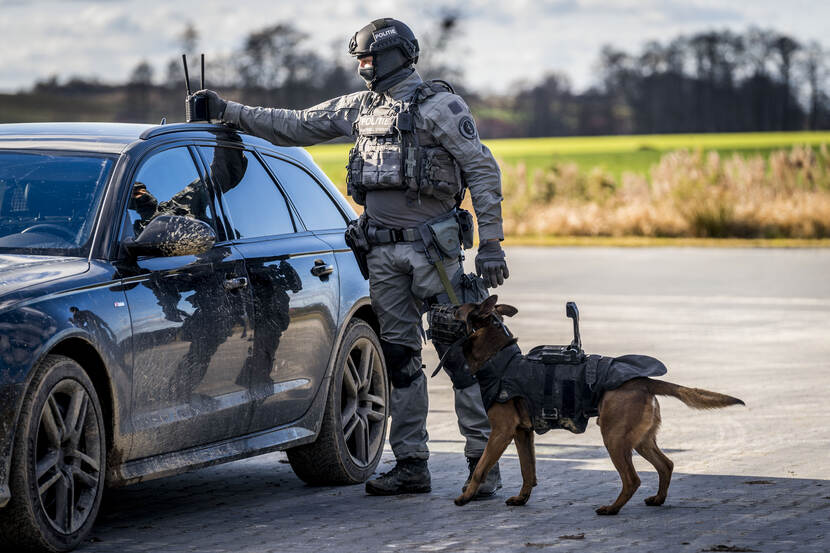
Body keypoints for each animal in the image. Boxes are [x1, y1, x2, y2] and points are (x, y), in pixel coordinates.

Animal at [456, 296, 748, 516]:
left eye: (456, 309)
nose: (444, 307)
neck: (499, 359)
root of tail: (644, 381)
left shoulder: (501, 432)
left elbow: (481, 467)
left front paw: (466, 496)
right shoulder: (522, 434)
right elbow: (528, 471)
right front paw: (521, 498)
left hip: (614, 437)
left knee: (632, 479)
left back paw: (612, 508)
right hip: (640, 439)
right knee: (666, 465)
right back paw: (657, 499)